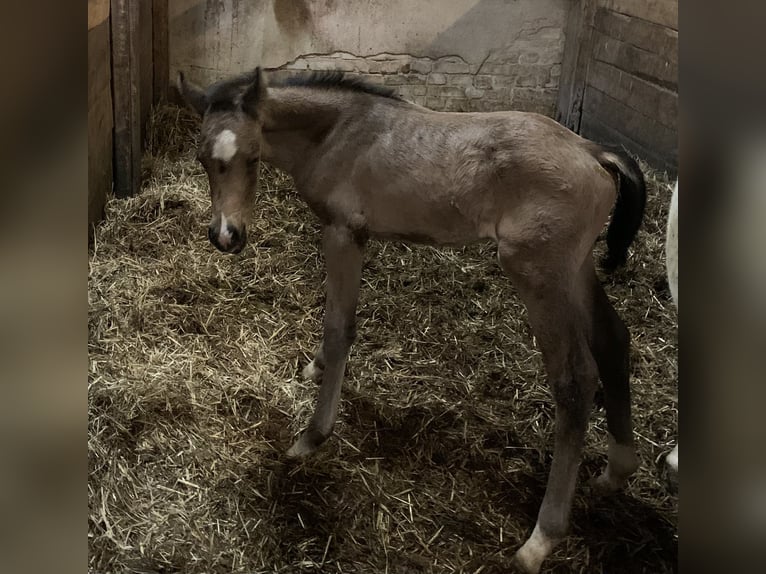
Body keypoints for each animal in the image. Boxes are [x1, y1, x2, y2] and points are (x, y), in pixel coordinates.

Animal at [180, 66, 648, 572]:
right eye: (202, 158)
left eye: (250, 155)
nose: (226, 236)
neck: (336, 134)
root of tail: (593, 151)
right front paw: (315, 367)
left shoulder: (345, 233)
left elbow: (340, 326)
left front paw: (313, 436)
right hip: (574, 268)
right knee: (613, 338)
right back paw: (616, 469)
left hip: (536, 272)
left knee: (575, 380)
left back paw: (540, 540)